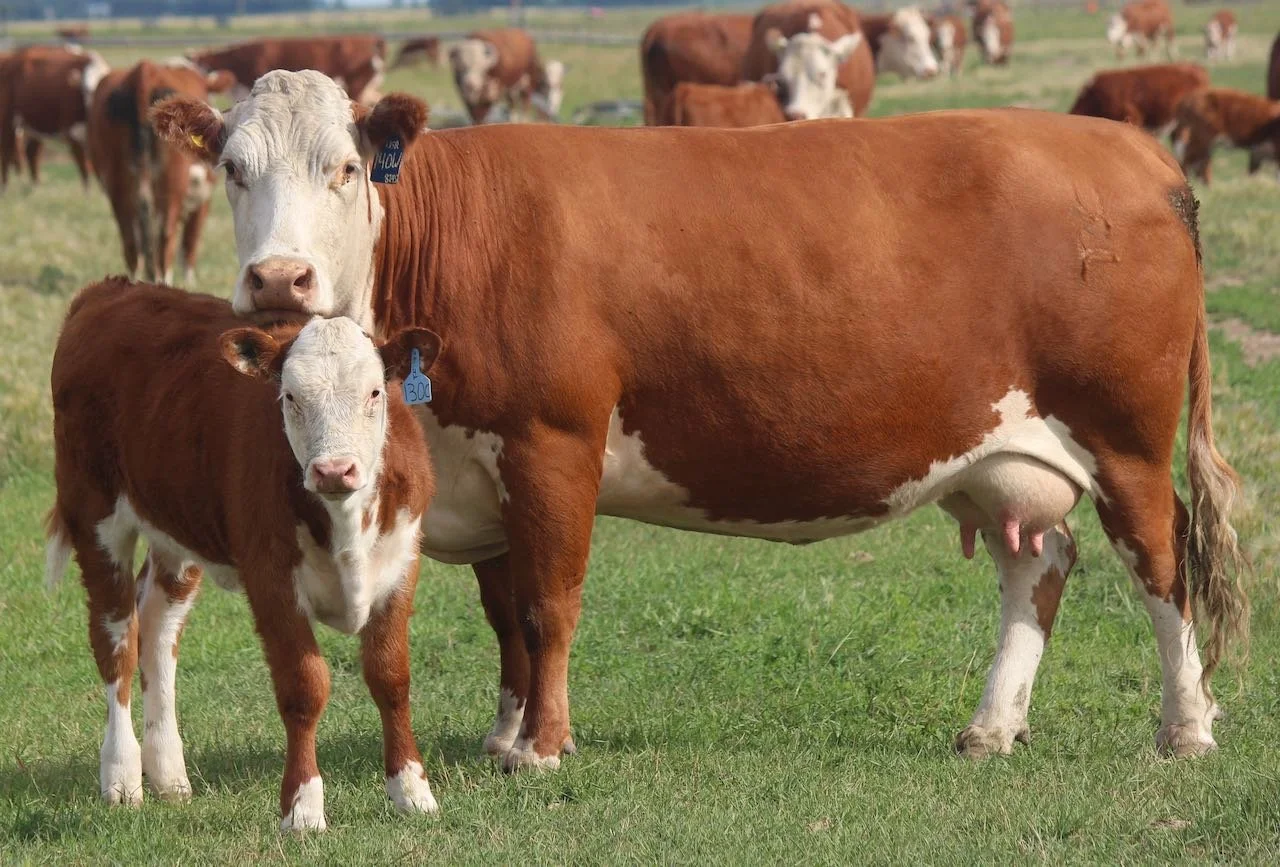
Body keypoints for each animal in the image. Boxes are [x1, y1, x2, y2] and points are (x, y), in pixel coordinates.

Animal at [0, 45, 108, 190]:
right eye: (86, 89)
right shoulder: (71, 134)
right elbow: (84, 170)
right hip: (7, 122)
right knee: (6, 154)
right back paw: (5, 187)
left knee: (31, 153)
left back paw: (36, 187)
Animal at [46, 278, 443, 829]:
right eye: (290, 397)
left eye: (375, 393)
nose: (334, 470)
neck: (343, 524)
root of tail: (111, 290)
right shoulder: (270, 577)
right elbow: (304, 686)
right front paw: (302, 809)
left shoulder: (401, 564)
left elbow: (391, 678)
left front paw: (411, 790)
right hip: (95, 515)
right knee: (116, 641)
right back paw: (122, 777)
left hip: (178, 531)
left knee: (157, 632)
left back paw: (169, 776)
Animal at [87, 60, 234, 285]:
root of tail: (145, 72)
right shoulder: (203, 197)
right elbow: (190, 241)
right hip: (171, 188)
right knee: (166, 239)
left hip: (117, 187)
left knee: (131, 242)